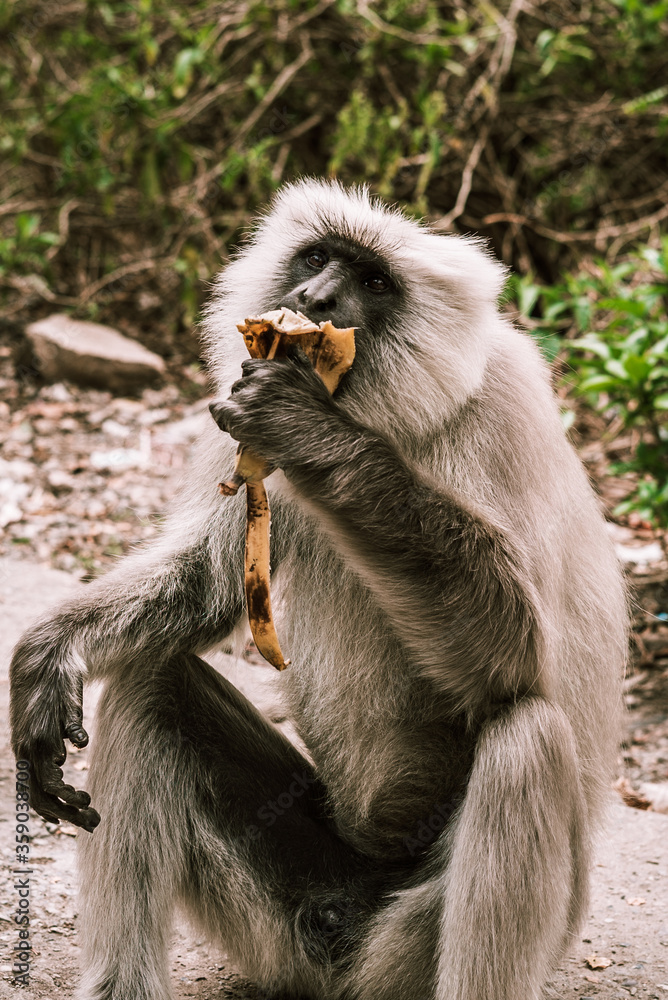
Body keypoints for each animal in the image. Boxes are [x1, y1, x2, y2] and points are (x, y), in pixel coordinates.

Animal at [9, 179, 627, 1000]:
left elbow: (521, 655)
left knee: (526, 739)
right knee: (151, 681)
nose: (314, 297)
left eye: (373, 281)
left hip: (408, 947)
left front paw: (312, 435)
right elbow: (207, 583)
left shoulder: (507, 406)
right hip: (282, 929)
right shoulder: (237, 398)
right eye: (318, 258)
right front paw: (50, 657)